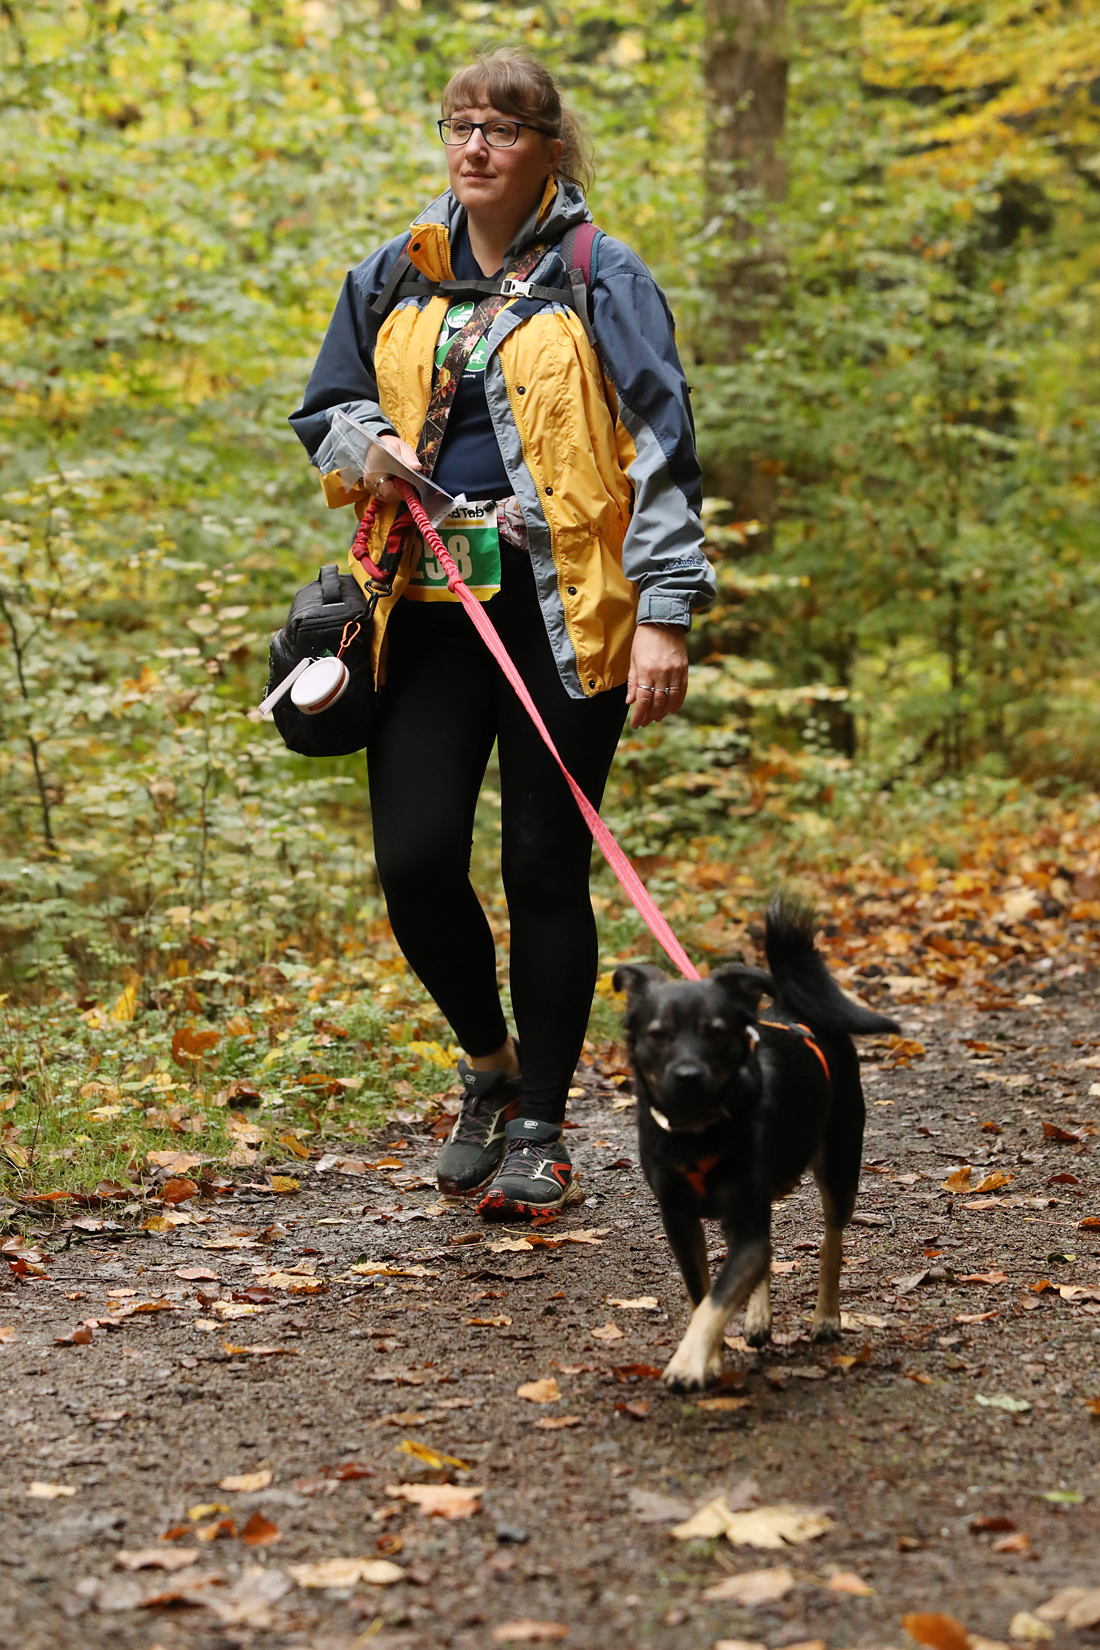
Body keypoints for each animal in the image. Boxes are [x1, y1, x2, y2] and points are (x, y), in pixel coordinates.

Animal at [614, 895, 899, 1392]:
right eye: (657, 1034)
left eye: (716, 1032)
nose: (687, 1075)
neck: (697, 1129)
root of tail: (791, 1008)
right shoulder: (680, 1220)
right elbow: (703, 1294)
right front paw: (710, 1357)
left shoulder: (745, 1221)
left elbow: (718, 1297)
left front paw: (689, 1363)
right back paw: (758, 1319)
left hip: (840, 1166)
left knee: (832, 1239)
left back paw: (826, 1317)